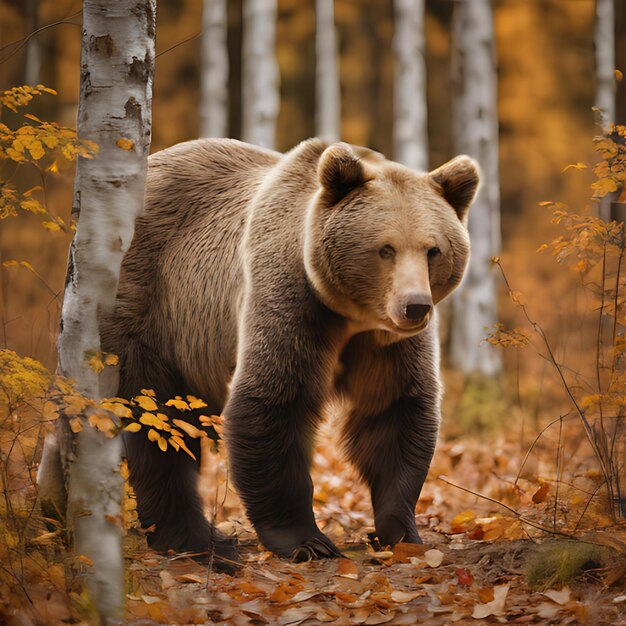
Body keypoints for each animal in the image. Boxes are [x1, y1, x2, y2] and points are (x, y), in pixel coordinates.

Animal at [100, 138, 476, 572]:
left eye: (433, 250)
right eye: (385, 249)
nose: (415, 306)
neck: (350, 314)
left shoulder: (386, 343)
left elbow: (393, 412)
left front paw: (399, 531)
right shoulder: (290, 298)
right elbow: (274, 403)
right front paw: (308, 541)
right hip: (151, 301)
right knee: (158, 420)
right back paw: (200, 541)